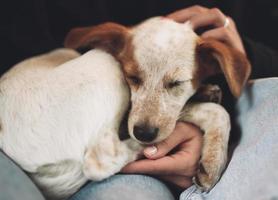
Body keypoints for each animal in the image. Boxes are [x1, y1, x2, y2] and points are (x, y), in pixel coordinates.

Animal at [0, 17, 250, 200]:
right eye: (133, 77)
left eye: (176, 83)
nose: (144, 134)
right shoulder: (132, 113)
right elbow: (216, 113)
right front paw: (214, 162)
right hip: (105, 64)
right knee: (98, 162)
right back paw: (137, 150)